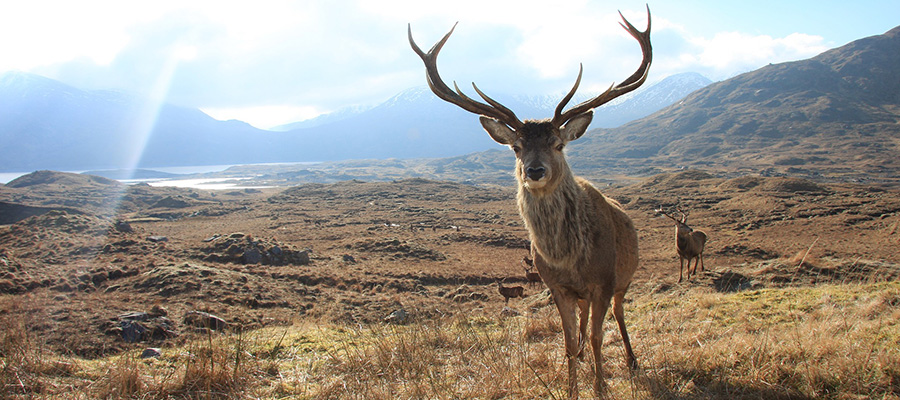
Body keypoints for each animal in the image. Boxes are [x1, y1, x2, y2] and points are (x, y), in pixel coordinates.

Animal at [409, 7, 651, 398]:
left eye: (558, 144)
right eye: (516, 147)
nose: (535, 171)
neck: (570, 259)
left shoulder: (604, 280)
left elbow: (599, 336)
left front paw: (600, 386)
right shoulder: (557, 287)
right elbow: (568, 342)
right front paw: (572, 387)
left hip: (624, 279)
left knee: (618, 314)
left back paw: (631, 360)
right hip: (584, 294)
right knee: (585, 323)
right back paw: (587, 359)